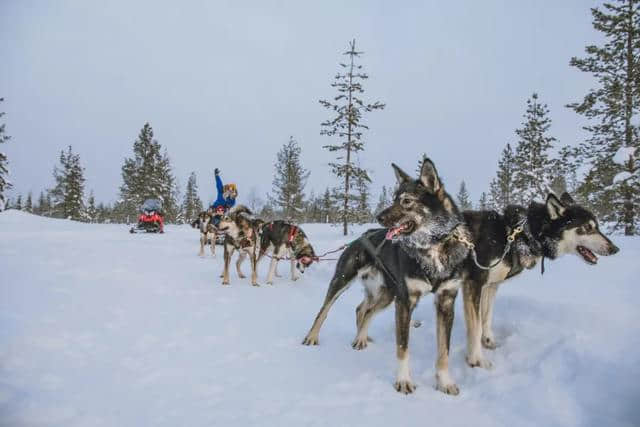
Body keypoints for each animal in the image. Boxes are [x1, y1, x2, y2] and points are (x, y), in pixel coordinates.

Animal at [300, 159, 470, 396]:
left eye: (407, 201)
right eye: (393, 198)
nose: (378, 217)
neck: (432, 248)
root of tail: (361, 237)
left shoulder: (446, 301)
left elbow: (444, 350)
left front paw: (445, 382)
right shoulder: (405, 301)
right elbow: (402, 346)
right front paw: (403, 381)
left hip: (388, 295)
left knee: (364, 310)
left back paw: (361, 337)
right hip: (345, 281)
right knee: (324, 311)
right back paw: (313, 336)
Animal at [460, 192, 620, 370]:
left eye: (597, 227)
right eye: (587, 228)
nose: (615, 249)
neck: (515, 236)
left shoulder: (491, 286)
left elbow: (486, 317)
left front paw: (488, 341)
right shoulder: (474, 283)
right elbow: (476, 327)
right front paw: (476, 360)